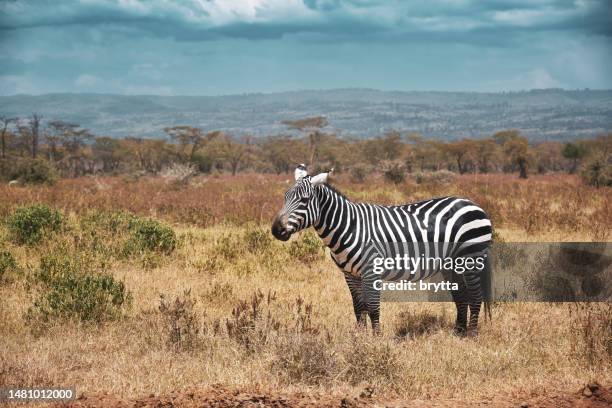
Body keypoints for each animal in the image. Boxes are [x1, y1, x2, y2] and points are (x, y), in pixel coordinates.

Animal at [272, 164, 492, 336]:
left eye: (304, 200)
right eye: (285, 197)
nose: (276, 230)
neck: (349, 226)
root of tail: (473, 203)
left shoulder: (371, 271)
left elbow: (373, 308)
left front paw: (376, 340)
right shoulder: (350, 275)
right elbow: (358, 307)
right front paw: (360, 338)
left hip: (471, 257)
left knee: (475, 296)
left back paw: (472, 334)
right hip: (452, 265)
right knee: (461, 295)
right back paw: (459, 332)